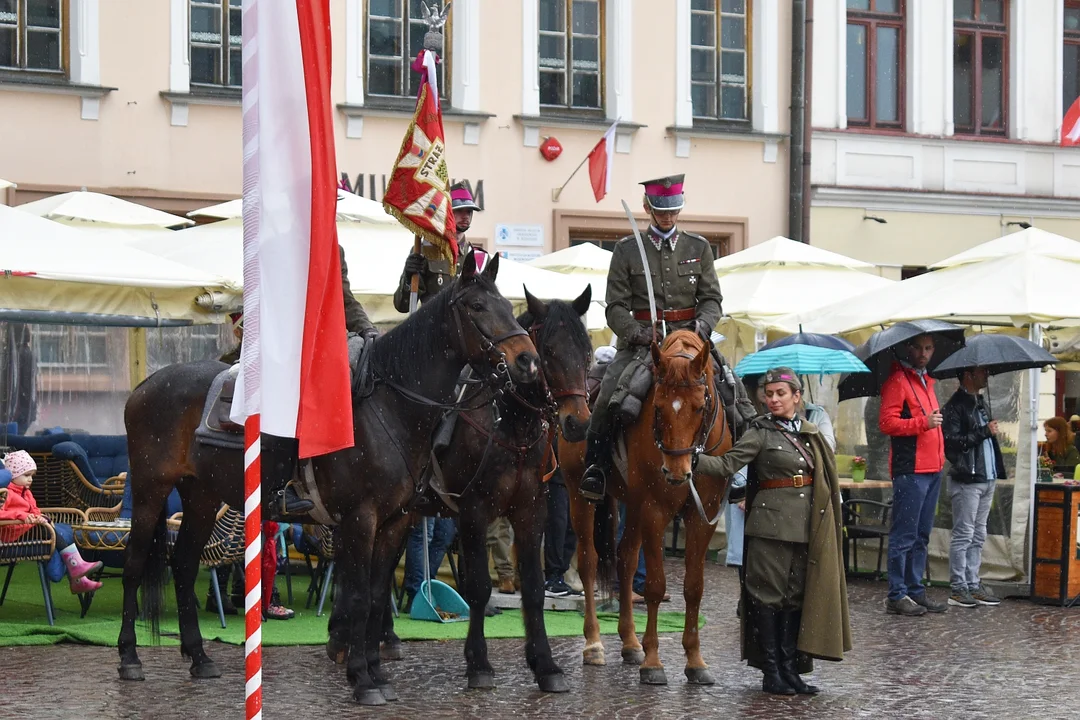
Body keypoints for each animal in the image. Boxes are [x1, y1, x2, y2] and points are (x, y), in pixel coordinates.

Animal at [118, 250, 540, 708]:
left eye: (508, 306)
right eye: (477, 306)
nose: (527, 361)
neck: (389, 405)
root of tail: (145, 385)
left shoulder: (393, 521)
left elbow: (376, 595)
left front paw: (376, 672)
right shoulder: (361, 518)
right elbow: (356, 596)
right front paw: (361, 678)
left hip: (201, 497)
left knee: (182, 564)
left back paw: (198, 656)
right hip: (150, 492)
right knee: (134, 564)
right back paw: (129, 658)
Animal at [324, 289, 596, 699]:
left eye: (586, 351)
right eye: (548, 350)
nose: (577, 423)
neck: (508, 423)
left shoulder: (531, 511)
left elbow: (533, 589)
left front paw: (545, 665)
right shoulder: (474, 512)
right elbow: (479, 587)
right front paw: (479, 663)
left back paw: (374, 640)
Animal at [557, 330, 734, 686]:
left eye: (700, 407)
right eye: (659, 407)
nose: (677, 474)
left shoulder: (703, 517)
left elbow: (694, 588)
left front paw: (695, 661)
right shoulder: (655, 511)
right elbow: (655, 586)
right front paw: (653, 662)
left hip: (631, 505)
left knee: (625, 561)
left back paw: (629, 642)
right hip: (579, 496)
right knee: (589, 562)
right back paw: (594, 643)